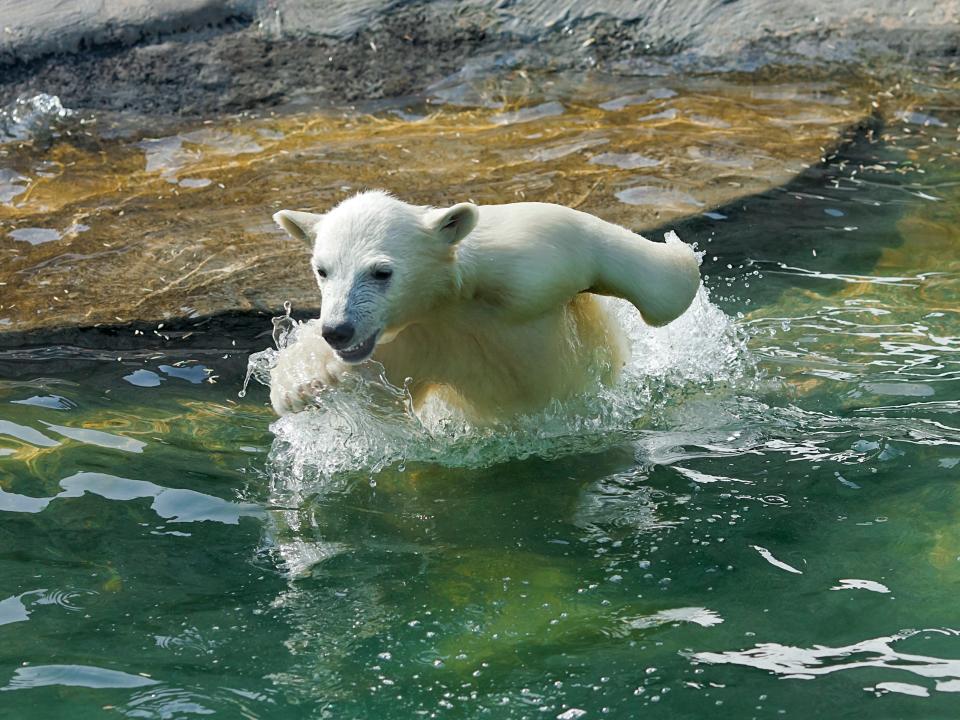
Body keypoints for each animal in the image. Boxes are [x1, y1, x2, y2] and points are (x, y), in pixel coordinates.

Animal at [270, 191, 696, 424]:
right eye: (322, 270)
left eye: (381, 272)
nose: (338, 330)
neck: (450, 300)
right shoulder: (403, 343)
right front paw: (295, 385)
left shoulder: (533, 258)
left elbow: (668, 289)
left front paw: (677, 249)